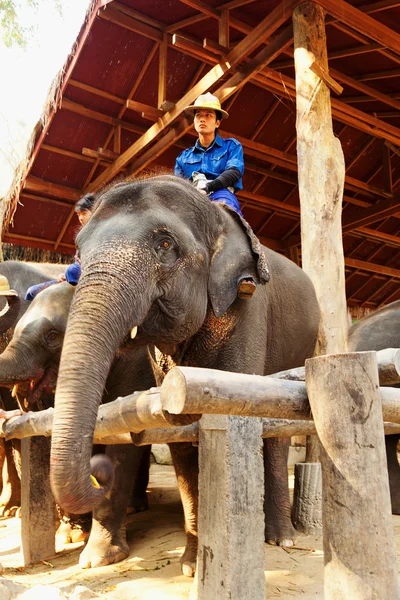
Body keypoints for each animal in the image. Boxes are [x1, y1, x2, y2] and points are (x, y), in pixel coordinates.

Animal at [0, 278, 155, 564]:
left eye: (51, 336)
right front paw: (70, 536)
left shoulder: (137, 366)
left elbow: (122, 442)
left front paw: (99, 559)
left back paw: (134, 506)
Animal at [48, 175, 320, 576]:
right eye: (79, 255)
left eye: (165, 245)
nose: (99, 468)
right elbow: (179, 430)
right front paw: (193, 566)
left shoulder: (246, 305)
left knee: (277, 436)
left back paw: (281, 538)